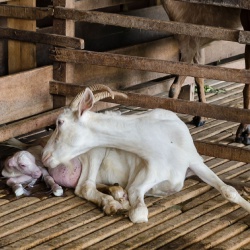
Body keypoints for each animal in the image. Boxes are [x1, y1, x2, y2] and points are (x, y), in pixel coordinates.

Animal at [42, 86, 250, 223]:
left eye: (60, 122)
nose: (45, 156)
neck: (161, 143)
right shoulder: (142, 180)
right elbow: (138, 213)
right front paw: (126, 205)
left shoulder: (194, 160)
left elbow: (229, 191)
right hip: (94, 151)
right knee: (85, 187)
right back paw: (113, 203)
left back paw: (117, 192)